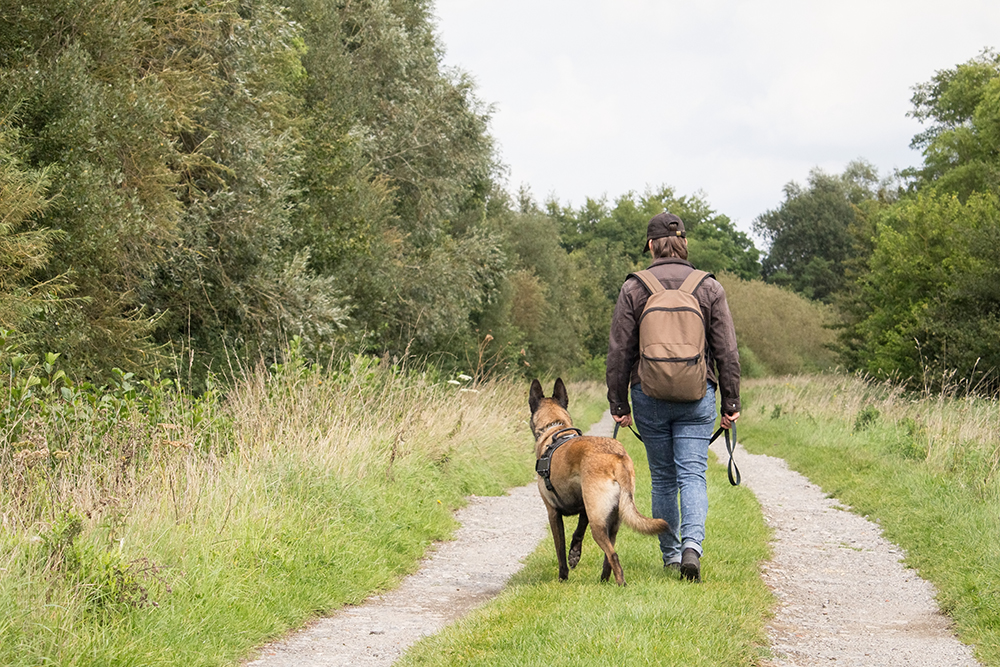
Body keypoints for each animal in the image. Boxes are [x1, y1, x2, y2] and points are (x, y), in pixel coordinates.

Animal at [528, 378, 668, 588]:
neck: (555, 428)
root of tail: (616, 457)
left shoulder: (553, 513)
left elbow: (560, 550)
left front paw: (563, 577)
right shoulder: (584, 508)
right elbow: (578, 532)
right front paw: (574, 555)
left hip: (598, 524)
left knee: (613, 555)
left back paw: (621, 584)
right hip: (612, 520)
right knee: (608, 557)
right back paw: (604, 580)